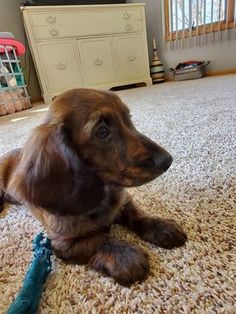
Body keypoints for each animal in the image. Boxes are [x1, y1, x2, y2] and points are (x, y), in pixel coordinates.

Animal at [0, 89, 188, 288]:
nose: (167, 160)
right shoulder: (64, 243)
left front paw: (160, 225)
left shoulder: (124, 202)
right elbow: (97, 241)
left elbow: (137, 215)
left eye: (128, 119)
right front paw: (125, 257)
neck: (102, 195)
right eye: (102, 131)